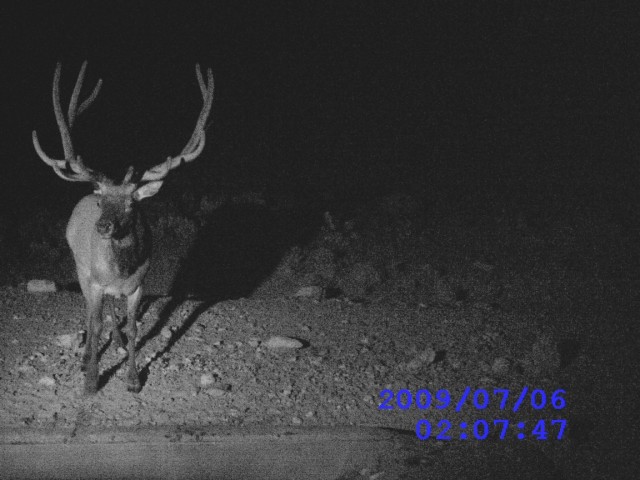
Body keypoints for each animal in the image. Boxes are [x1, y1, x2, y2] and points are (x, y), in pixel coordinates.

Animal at [32, 61, 214, 395]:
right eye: (102, 200)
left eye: (132, 203)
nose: (103, 226)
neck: (120, 270)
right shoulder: (93, 280)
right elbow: (94, 323)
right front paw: (91, 379)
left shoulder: (139, 285)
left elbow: (133, 327)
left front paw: (133, 379)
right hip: (80, 266)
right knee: (91, 312)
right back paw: (87, 355)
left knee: (111, 312)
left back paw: (114, 340)